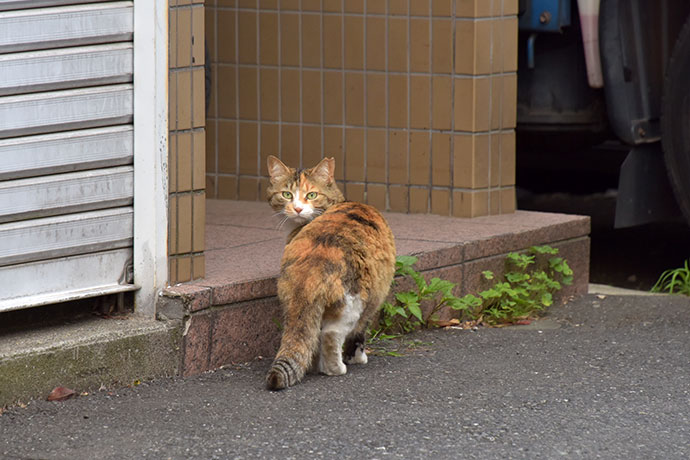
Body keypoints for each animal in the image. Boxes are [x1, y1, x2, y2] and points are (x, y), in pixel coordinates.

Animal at [264, 156, 396, 390]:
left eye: (312, 195)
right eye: (287, 194)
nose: (297, 209)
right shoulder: (376, 297)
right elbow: (360, 333)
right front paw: (357, 358)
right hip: (355, 300)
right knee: (332, 334)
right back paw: (335, 369)